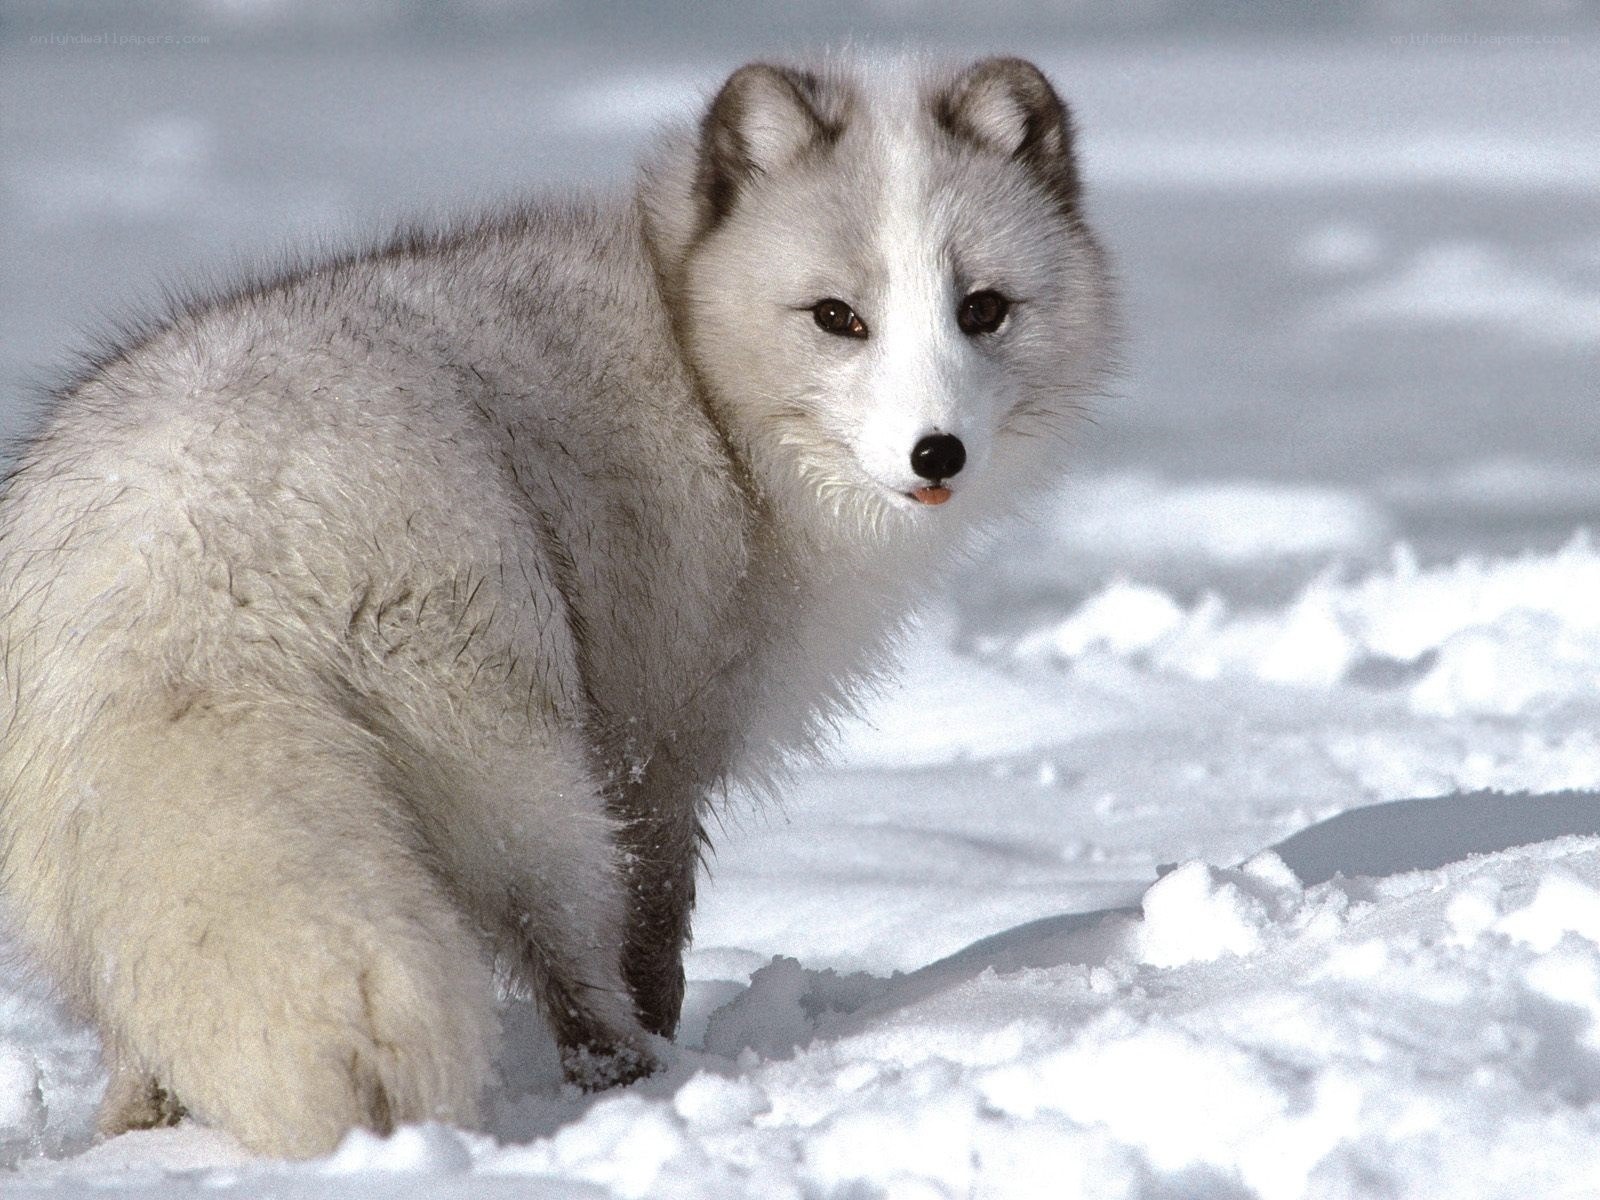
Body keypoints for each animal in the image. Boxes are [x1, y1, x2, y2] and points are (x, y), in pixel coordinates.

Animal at [0, 54, 1114, 1157]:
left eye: (983, 309)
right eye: (838, 317)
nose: (938, 453)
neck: (697, 365)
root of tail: (189, 549)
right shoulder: (658, 745)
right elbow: (654, 929)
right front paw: (661, 1037)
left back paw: (136, 1135)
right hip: (520, 773)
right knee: (568, 954)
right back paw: (633, 1078)